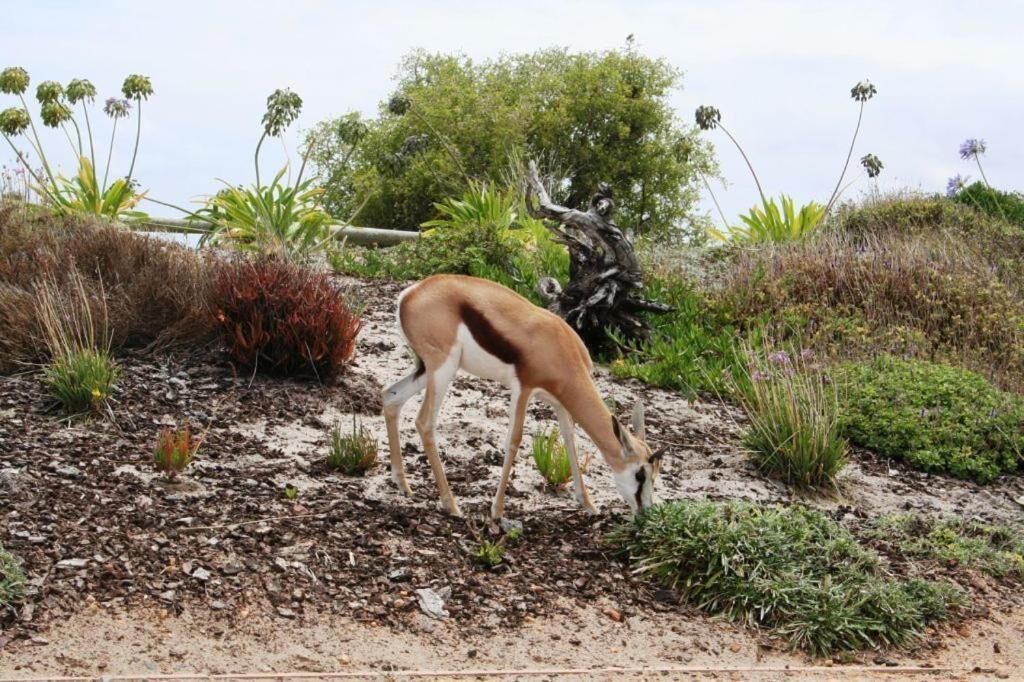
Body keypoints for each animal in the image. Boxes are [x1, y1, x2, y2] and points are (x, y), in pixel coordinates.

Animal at [381, 274, 666, 519]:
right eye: (640, 474)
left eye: (655, 475)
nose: (646, 512)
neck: (562, 349)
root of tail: (411, 292)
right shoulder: (523, 389)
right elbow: (514, 441)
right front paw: (497, 511)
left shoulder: (560, 403)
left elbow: (570, 440)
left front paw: (588, 504)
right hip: (443, 369)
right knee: (424, 422)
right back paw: (451, 505)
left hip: (425, 369)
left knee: (390, 397)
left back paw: (402, 483)